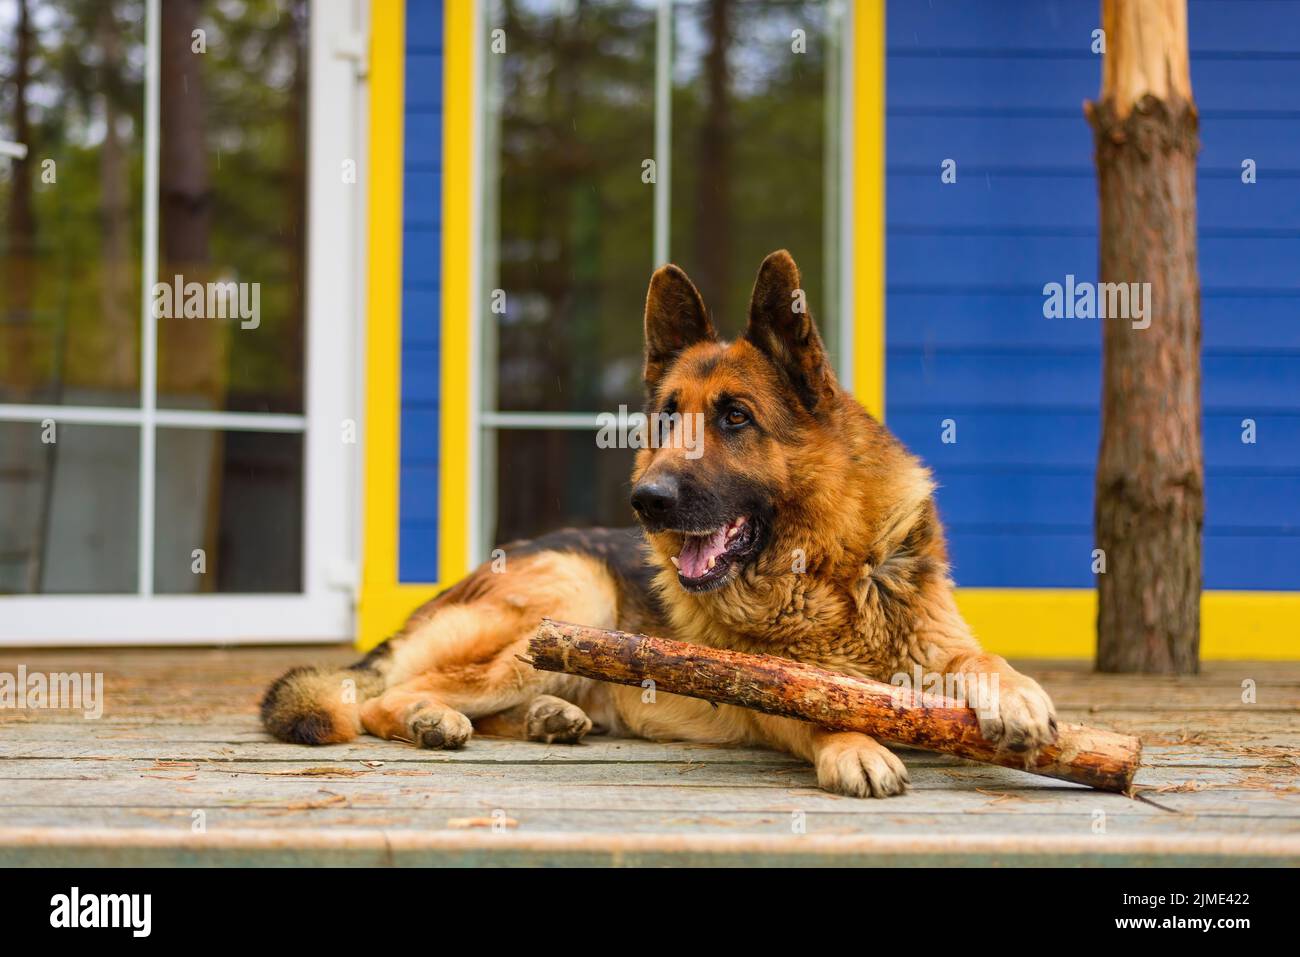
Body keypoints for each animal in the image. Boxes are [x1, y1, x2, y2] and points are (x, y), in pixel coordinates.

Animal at [263, 250, 1055, 795]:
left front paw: (1017, 691)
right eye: (669, 417)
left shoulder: (936, 636)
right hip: (573, 596)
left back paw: (548, 716)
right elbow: (823, 707)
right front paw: (856, 743)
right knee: (382, 698)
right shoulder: (766, 689)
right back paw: (432, 719)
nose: (645, 500)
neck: (826, 571)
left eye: (736, 417)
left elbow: (979, 659)